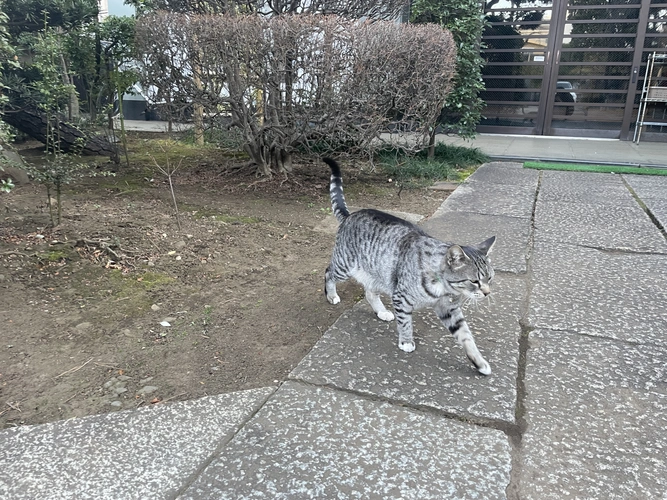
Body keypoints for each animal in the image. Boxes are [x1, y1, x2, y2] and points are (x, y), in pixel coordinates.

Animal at [324, 158, 496, 374]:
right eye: (474, 281)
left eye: (490, 278)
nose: (487, 293)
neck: (444, 289)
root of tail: (350, 215)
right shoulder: (401, 297)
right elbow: (405, 322)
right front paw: (406, 341)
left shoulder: (449, 310)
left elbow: (466, 337)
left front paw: (479, 361)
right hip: (345, 266)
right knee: (328, 272)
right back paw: (331, 295)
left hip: (378, 272)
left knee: (370, 292)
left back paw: (381, 311)